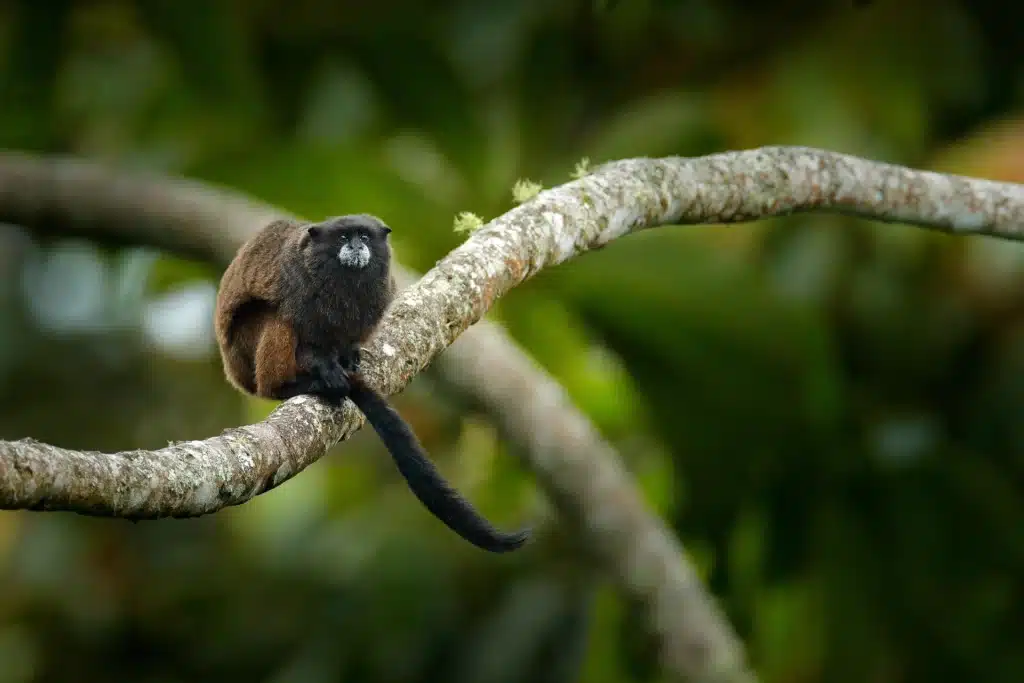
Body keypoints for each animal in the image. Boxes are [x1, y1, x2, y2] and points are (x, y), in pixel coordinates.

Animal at [214, 213, 530, 553]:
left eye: (364, 236)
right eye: (343, 238)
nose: (355, 246)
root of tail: (235, 373)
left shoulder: (381, 291)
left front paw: (348, 355)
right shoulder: (296, 284)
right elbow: (304, 337)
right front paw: (325, 369)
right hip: (245, 349)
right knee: (275, 320)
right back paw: (286, 386)